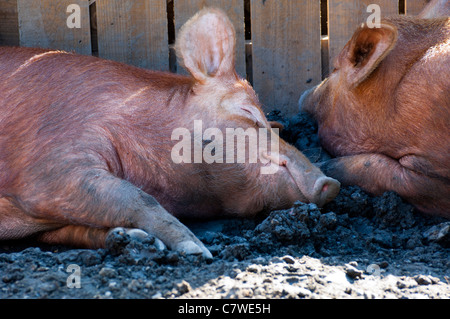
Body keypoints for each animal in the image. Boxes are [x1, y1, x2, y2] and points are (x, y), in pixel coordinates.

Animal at [0, 9, 340, 260]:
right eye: (249, 112)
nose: (332, 183)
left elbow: (75, 230)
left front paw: (138, 240)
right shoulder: (52, 158)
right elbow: (136, 197)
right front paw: (197, 250)